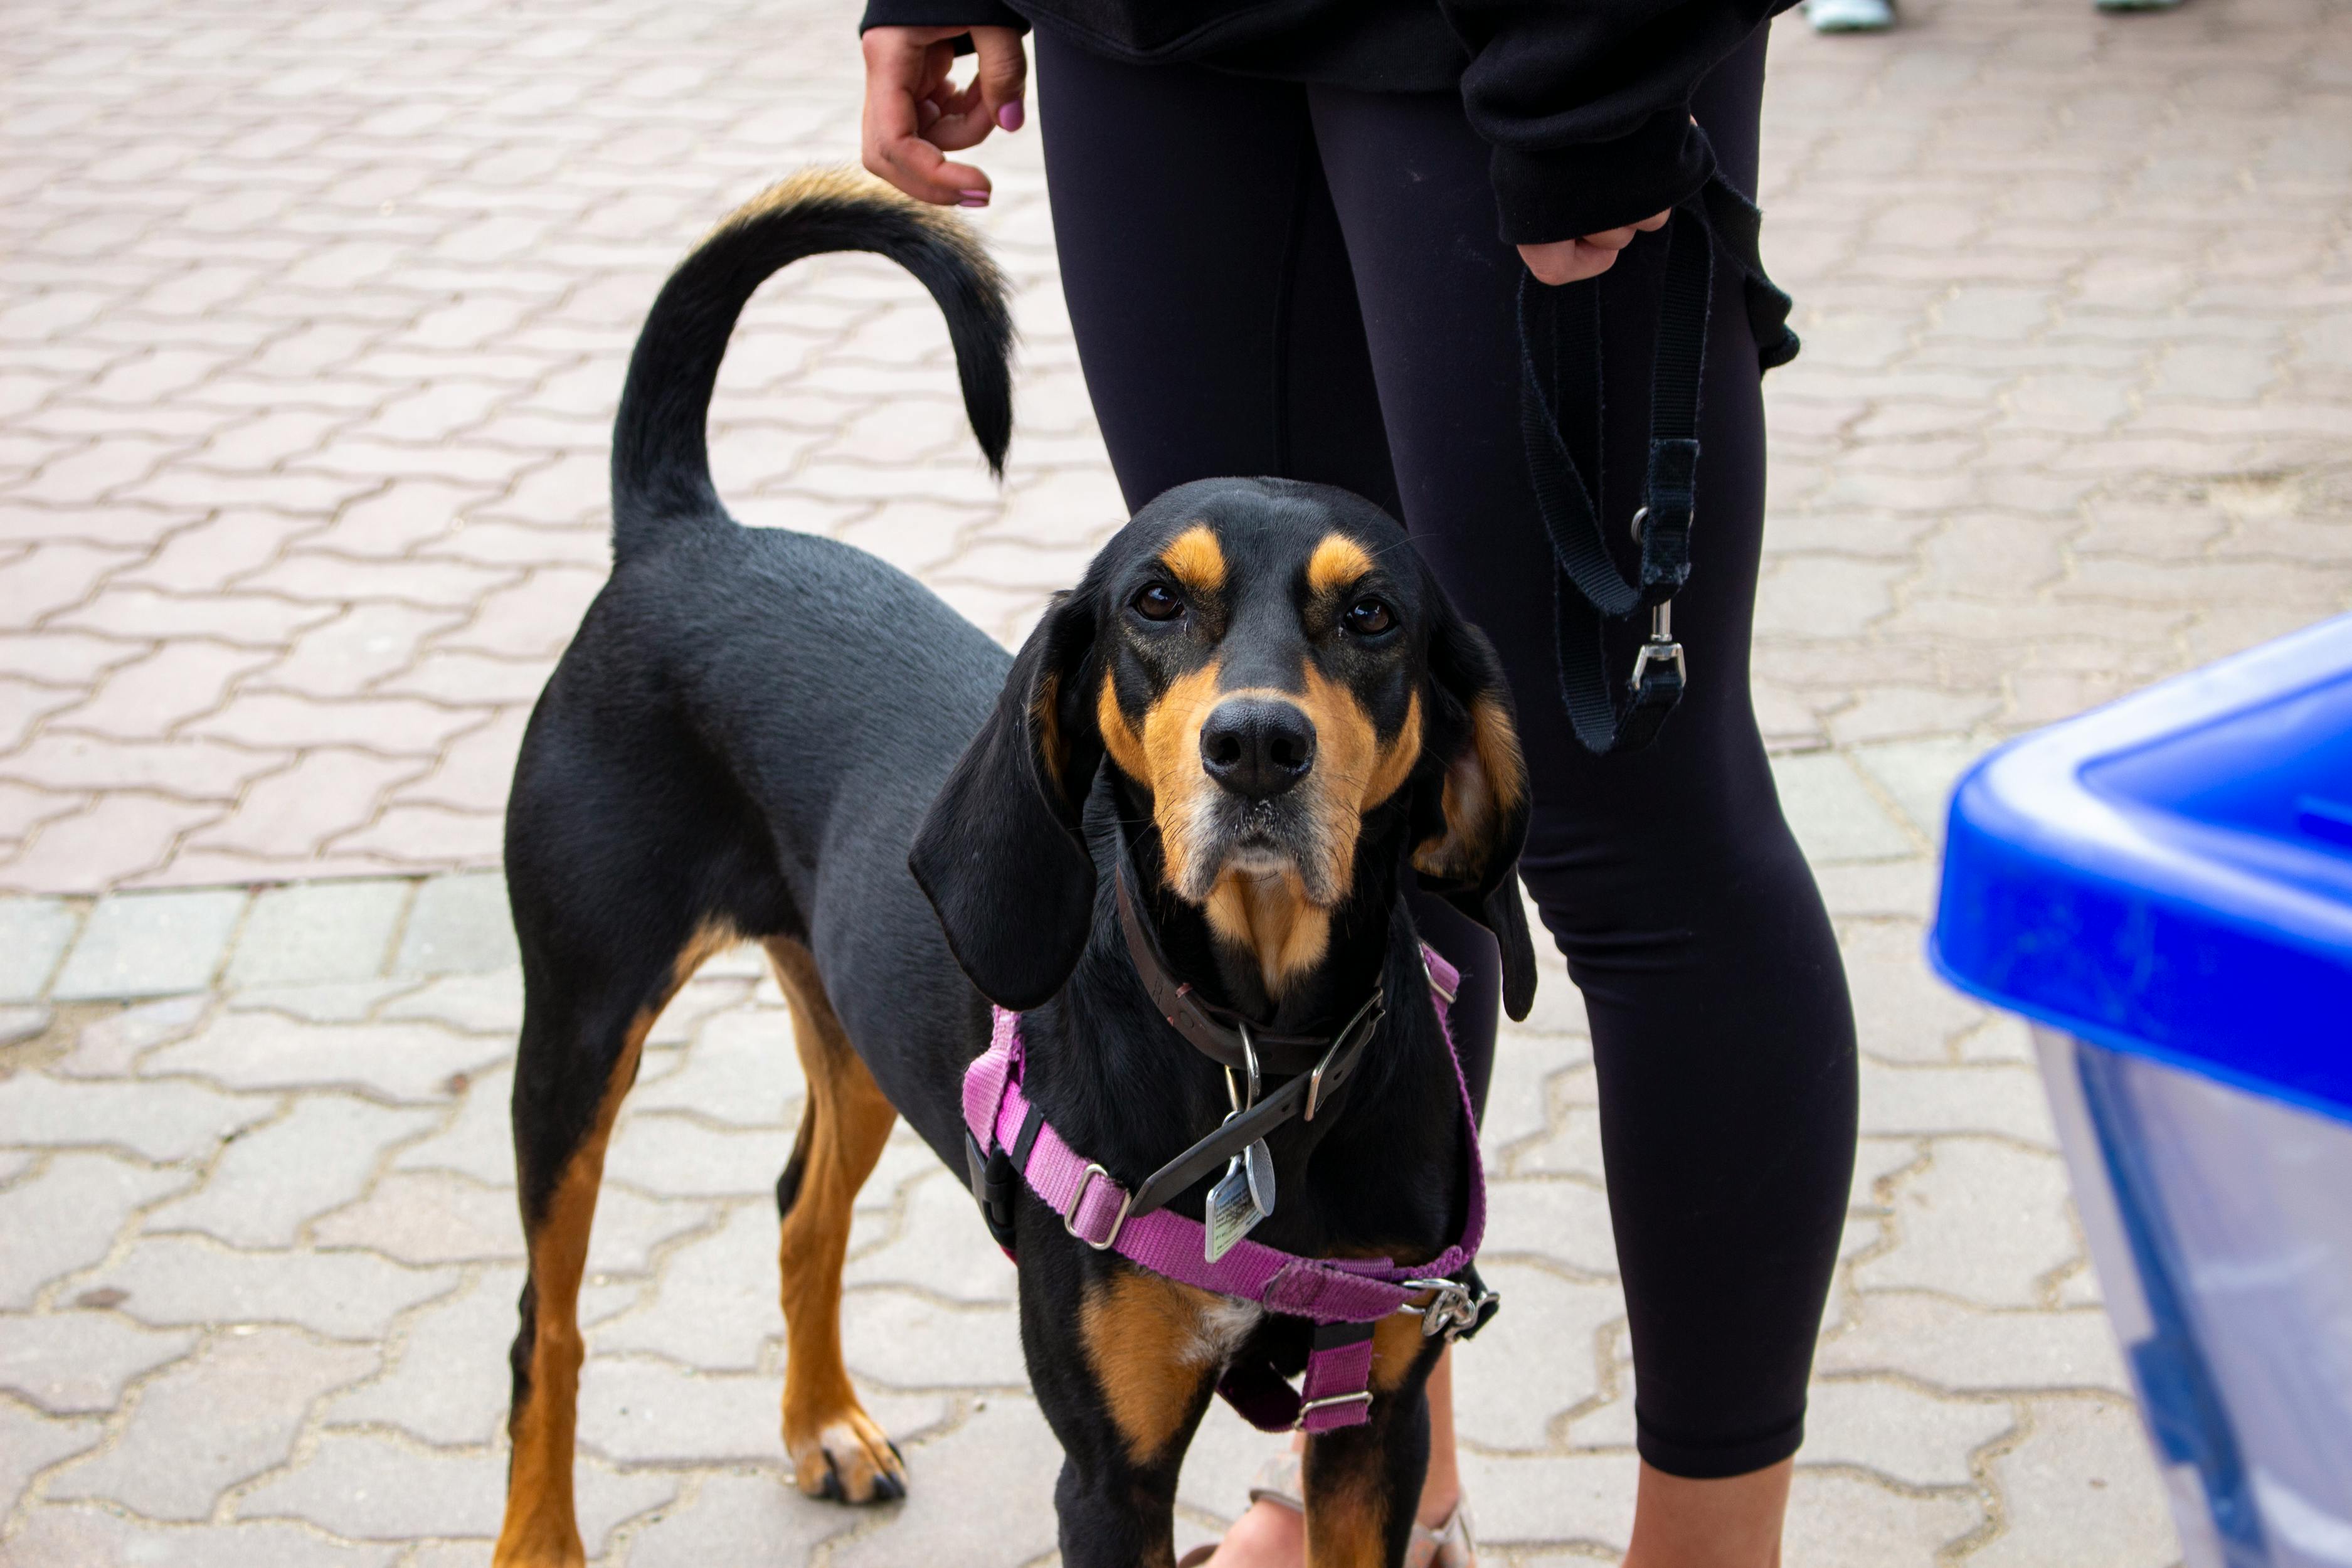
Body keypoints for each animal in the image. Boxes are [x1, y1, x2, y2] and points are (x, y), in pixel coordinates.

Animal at [487, 171, 1534, 1568]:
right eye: (1155, 601)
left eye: (1372, 616)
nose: (1258, 746)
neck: (1261, 1058)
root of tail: (680, 531)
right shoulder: (1109, 1472)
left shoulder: (1375, 1427)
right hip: (581, 1020)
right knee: (543, 1325)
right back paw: (541, 1532)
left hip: (855, 1022)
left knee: (802, 1208)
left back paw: (823, 1424)